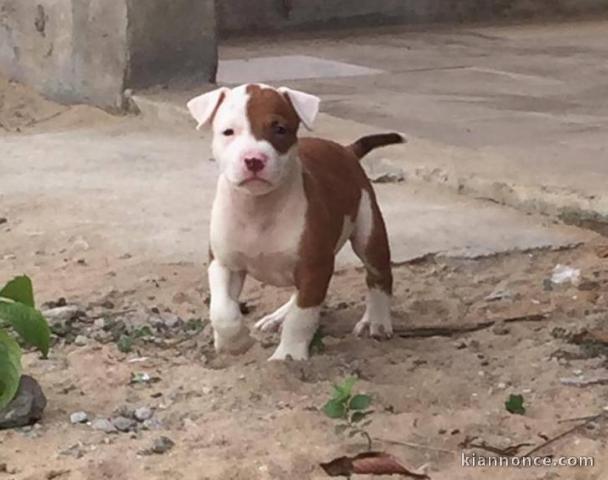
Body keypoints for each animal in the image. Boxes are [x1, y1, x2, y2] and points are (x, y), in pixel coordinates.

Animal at [188, 84, 402, 360]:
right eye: (228, 132)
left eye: (280, 129)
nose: (254, 159)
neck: (258, 207)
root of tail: (346, 150)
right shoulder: (224, 262)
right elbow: (222, 310)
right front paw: (234, 343)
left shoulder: (314, 268)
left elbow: (302, 317)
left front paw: (287, 357)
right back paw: (277, 317)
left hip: (369, 230)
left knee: (379, 275)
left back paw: (375, 321)